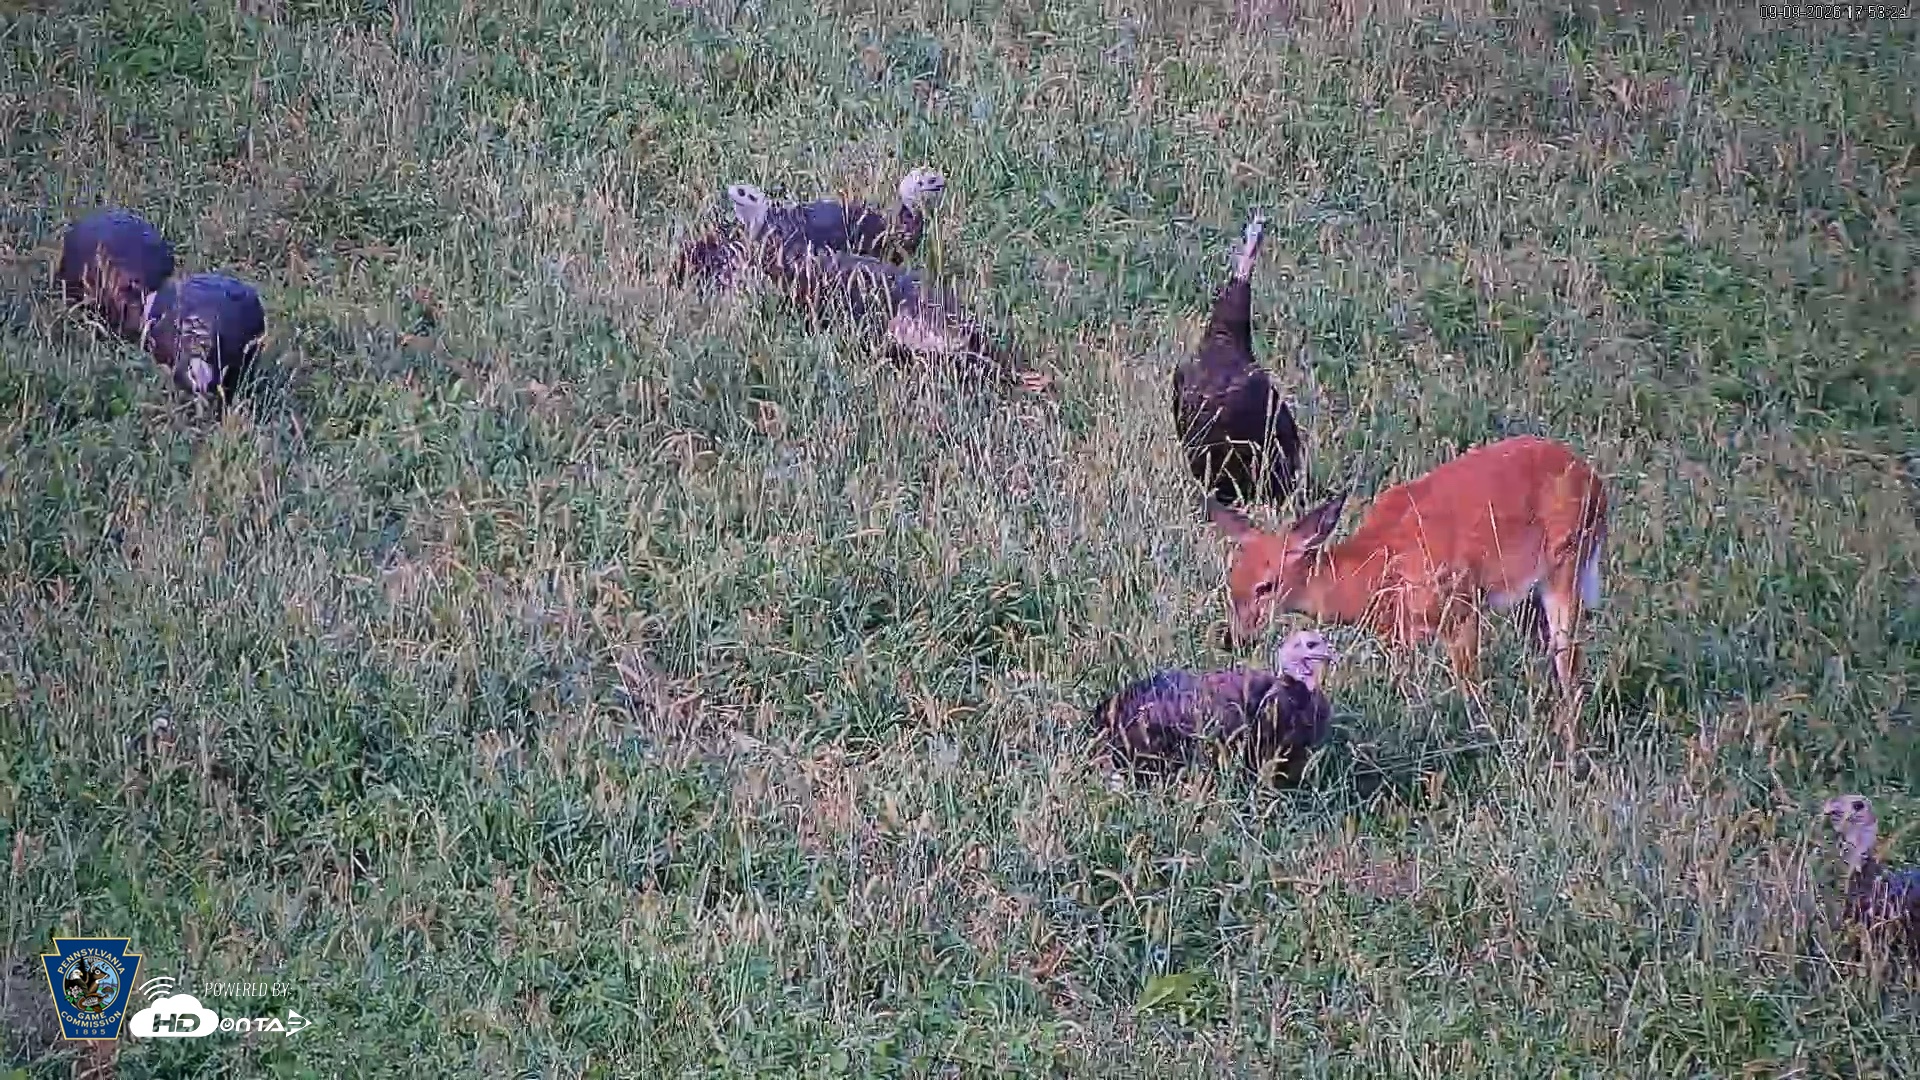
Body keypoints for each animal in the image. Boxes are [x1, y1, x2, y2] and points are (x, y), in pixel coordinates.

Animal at [1204, 435, 1609, 750]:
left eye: (1266, 586)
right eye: (1232, 581)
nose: (1233, 639)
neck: (1370, 572)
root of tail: (1596, 482)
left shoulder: (1460, 606)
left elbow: (1469, 685)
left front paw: (1480, 737)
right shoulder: (1400, 637)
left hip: (1567, 566)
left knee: (1569, 659)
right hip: (1531, 598)